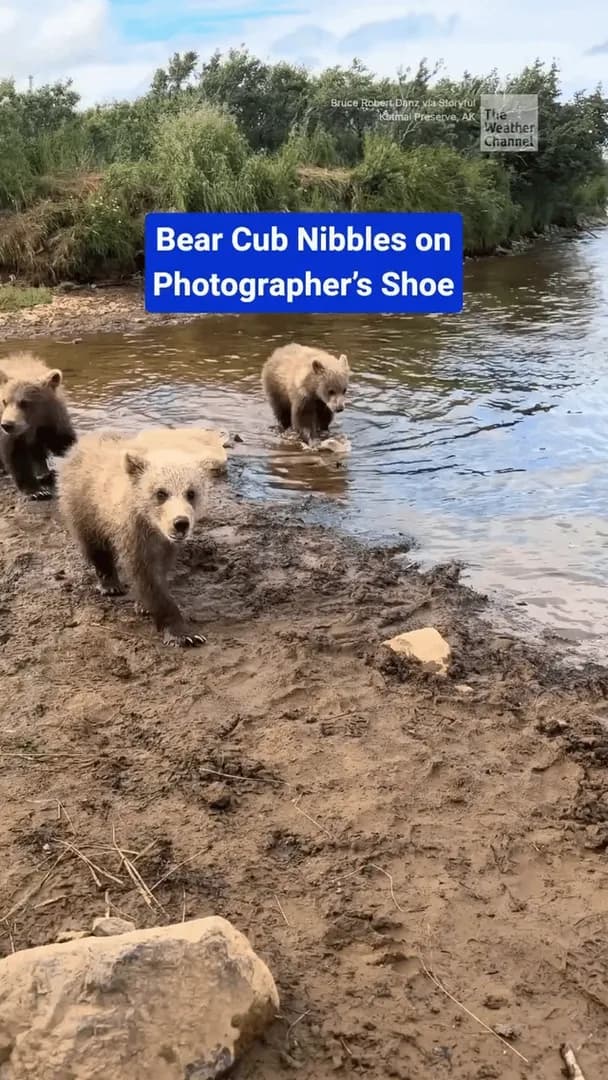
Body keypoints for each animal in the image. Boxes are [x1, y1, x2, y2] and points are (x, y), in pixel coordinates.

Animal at [0, 352, 76, 500]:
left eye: (24, 402)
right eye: (4, 401)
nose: (7, 424)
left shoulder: (52, 420)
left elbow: (62, 441)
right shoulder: (10, 433)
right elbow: (15, 455)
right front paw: (37, 491)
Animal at [57, 429, 211, 647]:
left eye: (191, 493)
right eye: (161, 492)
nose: (180, 523)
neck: (152, 526)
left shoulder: (165, 543)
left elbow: (160, 569)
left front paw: (143, 605)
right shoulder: (133, 535)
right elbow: (146, 576)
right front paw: (183, 633)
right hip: (83, 503)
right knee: (94, 546)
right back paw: (110, 584)